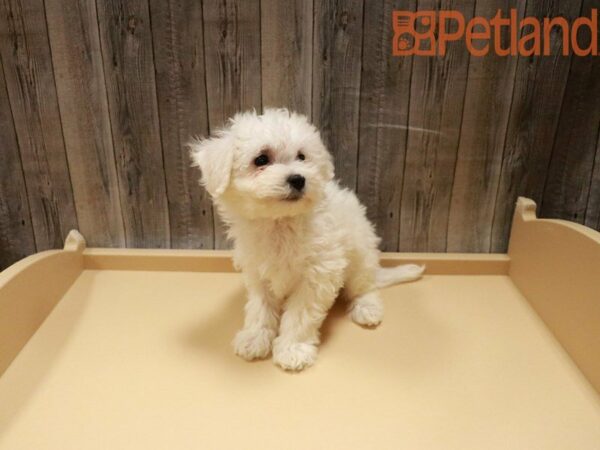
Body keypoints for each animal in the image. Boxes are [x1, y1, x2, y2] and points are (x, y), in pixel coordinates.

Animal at [191, 108, 422, 370]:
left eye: (301, 156)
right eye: (261, 160)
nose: (298, 179)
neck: (279, 223)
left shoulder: (318, 275)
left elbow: (299, 315)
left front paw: (293, 349)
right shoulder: (258, 273)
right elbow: (259, 308)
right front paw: (254, 337)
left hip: (360, 257)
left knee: (365, 286)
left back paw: (367, 307)